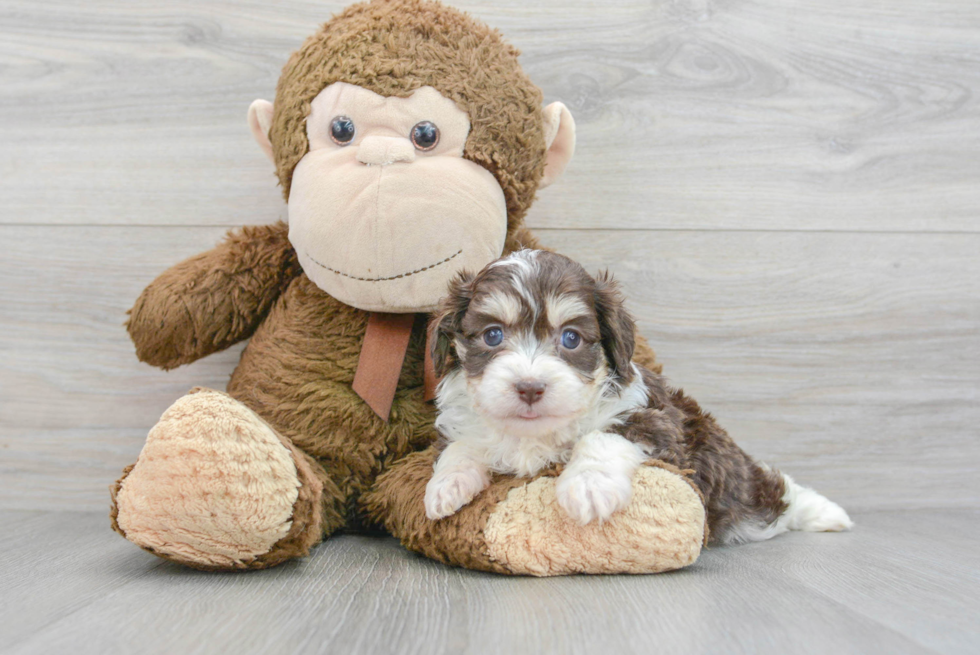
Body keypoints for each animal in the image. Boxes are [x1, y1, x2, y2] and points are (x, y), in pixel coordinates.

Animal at [424, 249, 852, 544]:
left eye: (571, 338)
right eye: (493, 335)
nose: (530, 387)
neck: (537, 436)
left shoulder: (656, 422)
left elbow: (602, 437)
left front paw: (588, 486)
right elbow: (460, 445)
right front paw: (446, 486)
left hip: (733, 474)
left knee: (775, 491)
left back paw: (826, 513)